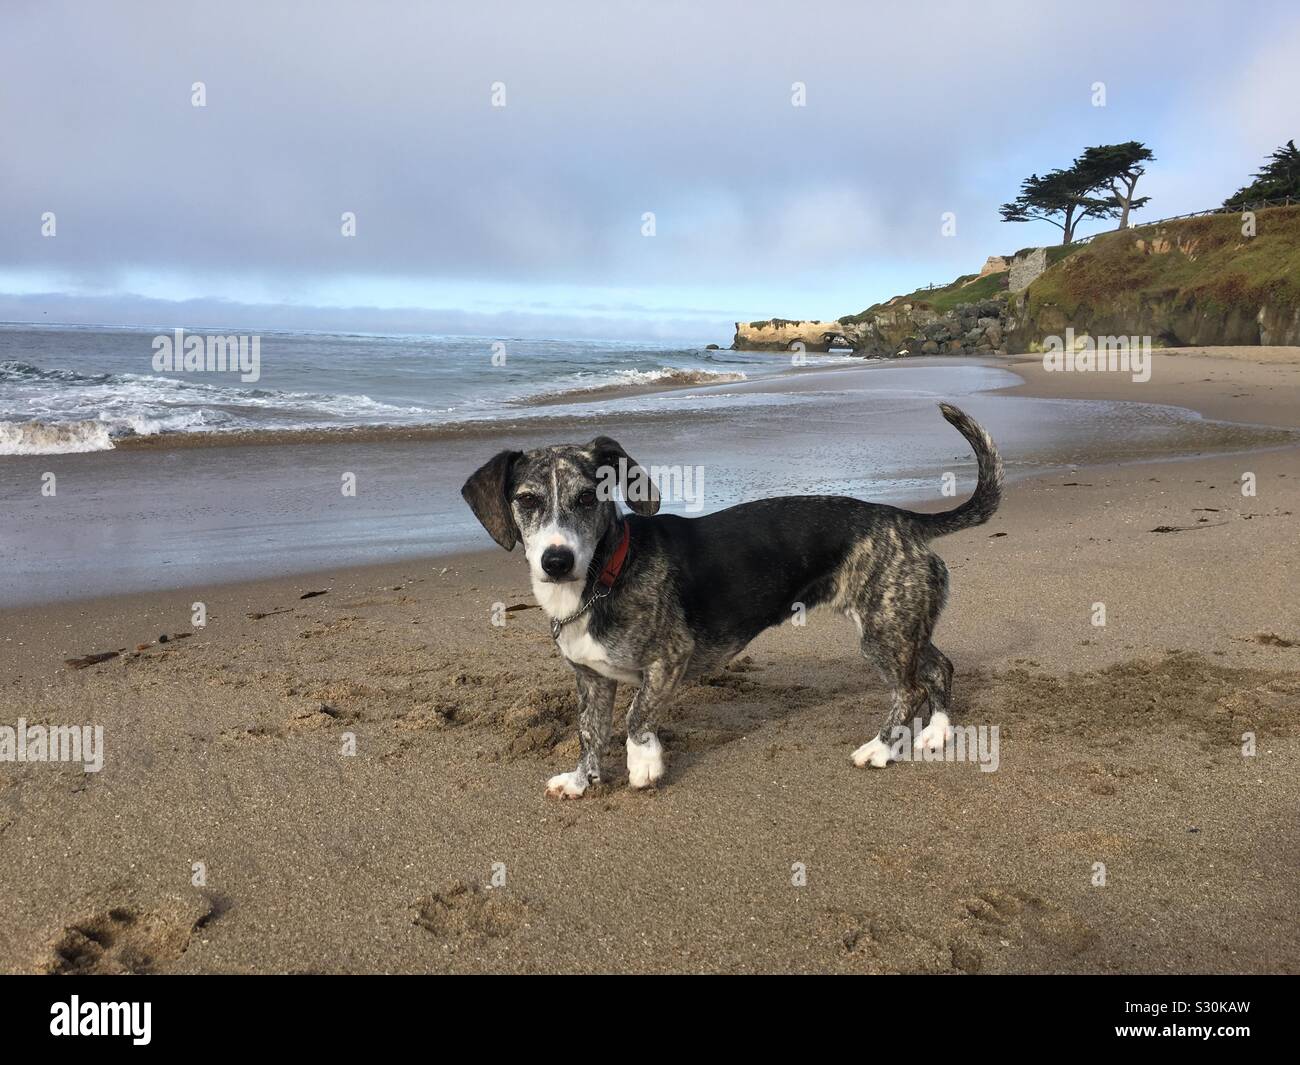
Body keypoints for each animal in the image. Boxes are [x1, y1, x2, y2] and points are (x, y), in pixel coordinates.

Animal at [462, 403, 998, 795]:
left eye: (588, 498)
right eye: (527, 500)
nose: (556, 560)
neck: (603, 576)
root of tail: (904, 519)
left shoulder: (669, 660)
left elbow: (636, 715)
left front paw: (644, 760)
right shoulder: (591, 679)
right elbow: (589, 732)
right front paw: (581, 781)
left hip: (883, 633)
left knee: (908, 689)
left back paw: (882, 750)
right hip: (902, 624)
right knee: (938, 667)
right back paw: (937, 731)